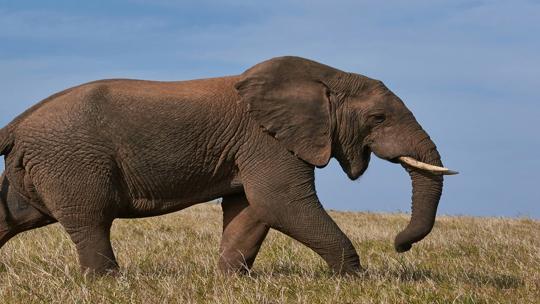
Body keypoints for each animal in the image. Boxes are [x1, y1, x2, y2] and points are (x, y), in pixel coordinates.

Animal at [0, 56, 456, 276]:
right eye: (378, 118)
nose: (400, 245)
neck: (326, 75)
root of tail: (18, 122)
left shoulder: (256, 147)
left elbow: (250, 210)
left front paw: (230, 282)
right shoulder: (267, 141)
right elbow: (280, 203)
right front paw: (357, 280)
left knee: (15, 218)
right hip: (72, 161)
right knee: (91, 220)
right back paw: (108, 283)